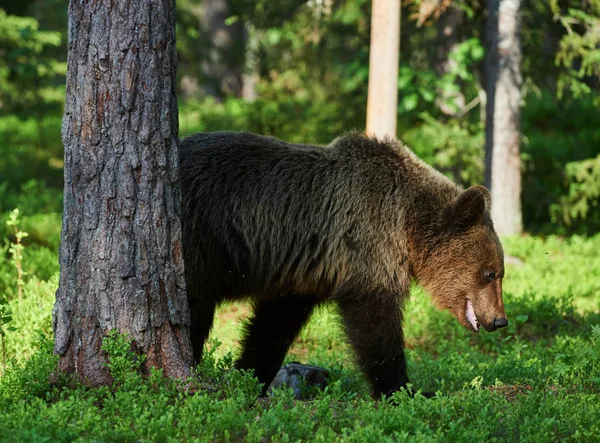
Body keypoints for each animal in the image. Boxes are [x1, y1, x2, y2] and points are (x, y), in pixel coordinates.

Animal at [178, 132, 506, 398]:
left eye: (499, 273)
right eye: (490, 273)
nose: (500, 320)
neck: (408, 225)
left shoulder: (304, 271)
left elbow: (274, 323)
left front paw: (248, 375)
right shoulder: (369, 240)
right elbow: (375, 321)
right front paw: (403, 390)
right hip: (200, 238)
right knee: (195, 309)